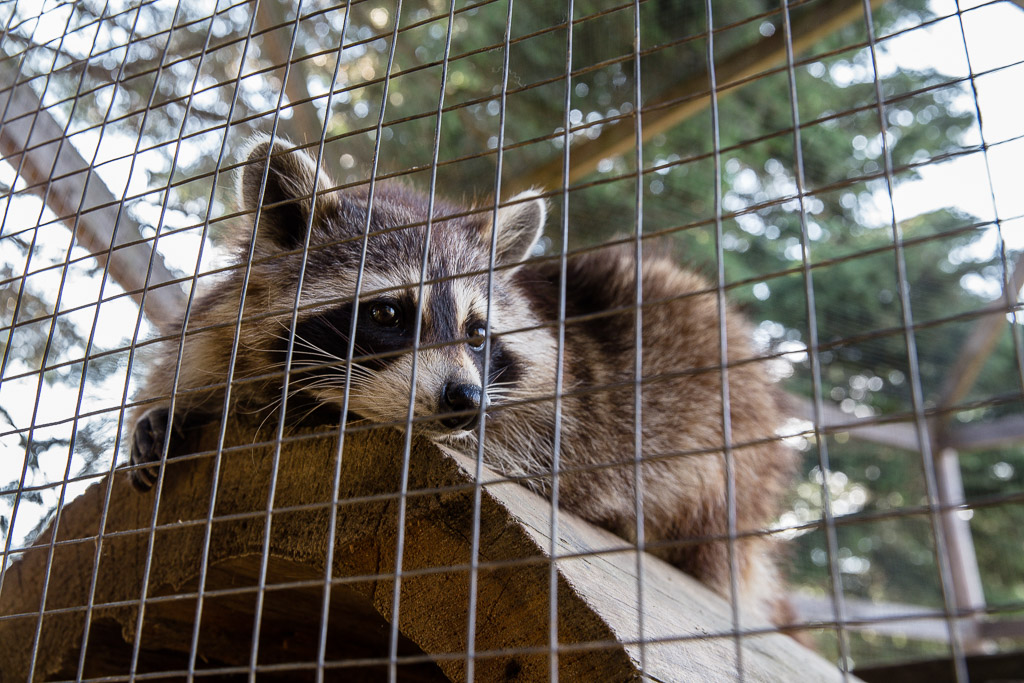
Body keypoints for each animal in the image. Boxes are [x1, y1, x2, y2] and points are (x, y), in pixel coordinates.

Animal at [128, 136, 794, 626]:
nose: (464, 400)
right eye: (387, 314)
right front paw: (177, 406)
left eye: (477, 333)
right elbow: (201, 360)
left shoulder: (564, 418)